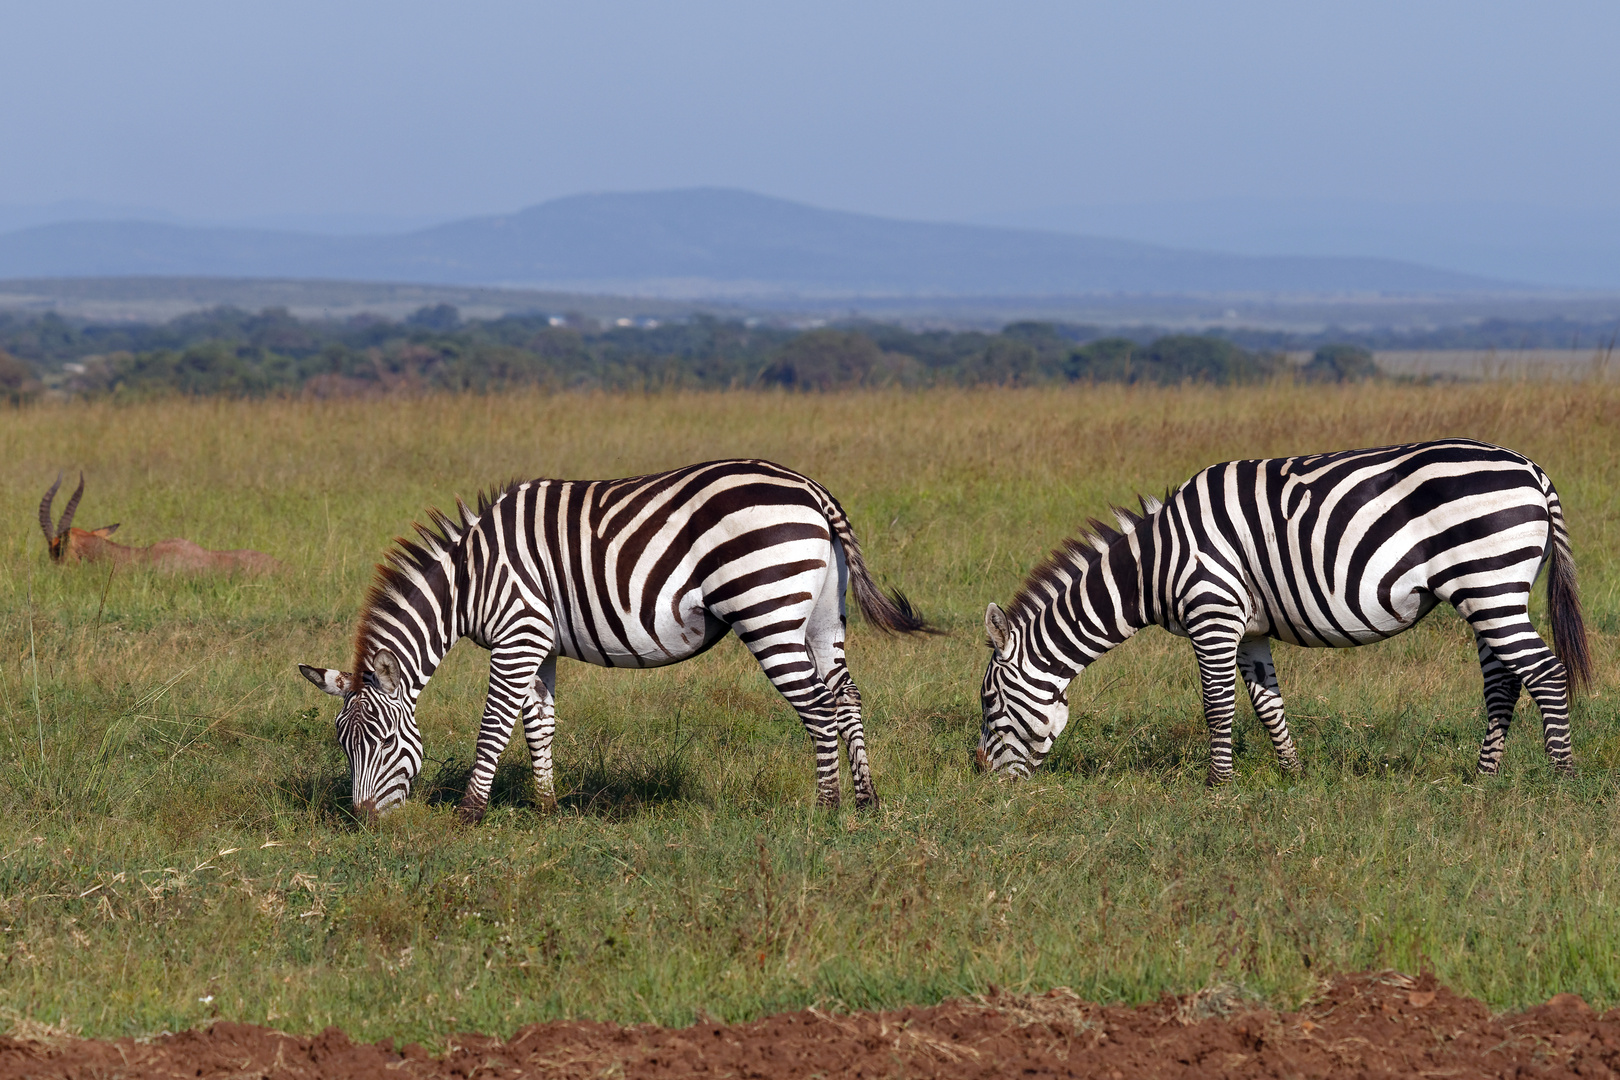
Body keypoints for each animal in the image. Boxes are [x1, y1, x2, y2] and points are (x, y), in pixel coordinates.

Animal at [298, 456, 933, 819]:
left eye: (383, 742)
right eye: (342, 745)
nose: (363, 820)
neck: (469, 581)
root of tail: (811, 489)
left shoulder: (517, 633)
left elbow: (495, 725)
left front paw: (469, 813)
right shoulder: (540, 642)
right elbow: (539, 723)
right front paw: (547, 808)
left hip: (765, 608)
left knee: (818, 706)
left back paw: (825, 810)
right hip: (823, 615)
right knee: (846, 696)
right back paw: (865, 803)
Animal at [972, 440, 1594, 786]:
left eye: (988, 703)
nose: (984, 778)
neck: (1155, 565)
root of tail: (1533, 470)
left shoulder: (1212, 611)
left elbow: (1217, 704)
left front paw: (1217, 786)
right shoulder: (1247, 627)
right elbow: (1266, 702)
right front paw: (1292, 775)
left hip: (1489, 582)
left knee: (1545, 672)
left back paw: (1561, 777)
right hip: (1491, 591)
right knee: (1504, 681)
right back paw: (1484, 780)